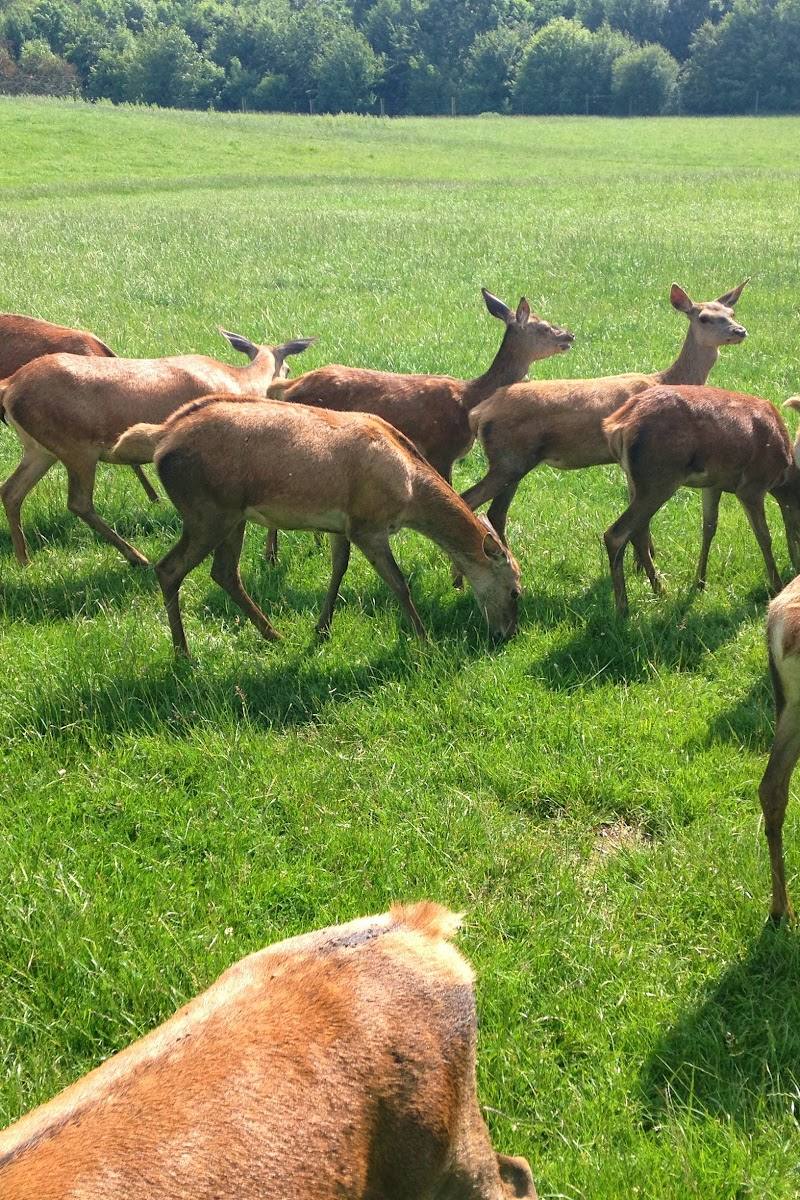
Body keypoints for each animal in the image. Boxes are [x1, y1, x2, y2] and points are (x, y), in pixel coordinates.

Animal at [0, 330, 313, 568]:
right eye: (288, 368)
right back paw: (137, 557)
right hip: (75, 447)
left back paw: (23, 559)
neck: (240, 382)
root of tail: (10, 386)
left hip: (39, 449)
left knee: (12, 490)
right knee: (79, 502)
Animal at [111, 397, 521, 654]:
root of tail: (162, 440)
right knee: (169, 568)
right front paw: (424, 642)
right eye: (516, 591)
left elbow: (338, 569)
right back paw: (183, 653)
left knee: (224, 572)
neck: (408, 490)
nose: (507, 635)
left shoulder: (343, 525)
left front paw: (321, 629)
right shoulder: (368, 525)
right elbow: (399, 584)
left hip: (231, 515)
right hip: (207, 511)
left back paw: (273, 634)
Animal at [262, 287, 574, 562]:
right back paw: (272, 556)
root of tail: (288, 386)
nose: (570, 335)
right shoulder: (442, 450)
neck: (468, 400)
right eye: (544, 327)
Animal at [461, 281, 749, 555]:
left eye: (731, 313)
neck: (666, 380)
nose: (740, 331)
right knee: (470, 500)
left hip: (515, 462)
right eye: (704, 318)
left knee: (495, 512)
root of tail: (480, 412)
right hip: (509, 459)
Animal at [601, 386, 800, 616]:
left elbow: (709, 528)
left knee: (639, 532)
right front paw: (776, 586)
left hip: (636, 483)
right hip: (659, 479)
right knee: (616, 534)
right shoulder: (752, 486)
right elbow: (764, 537)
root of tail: (618, 426)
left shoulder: (713, 484)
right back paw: (623, 607)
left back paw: (660, 590)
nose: (796, 570)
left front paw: (699, 582)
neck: (784, 478)